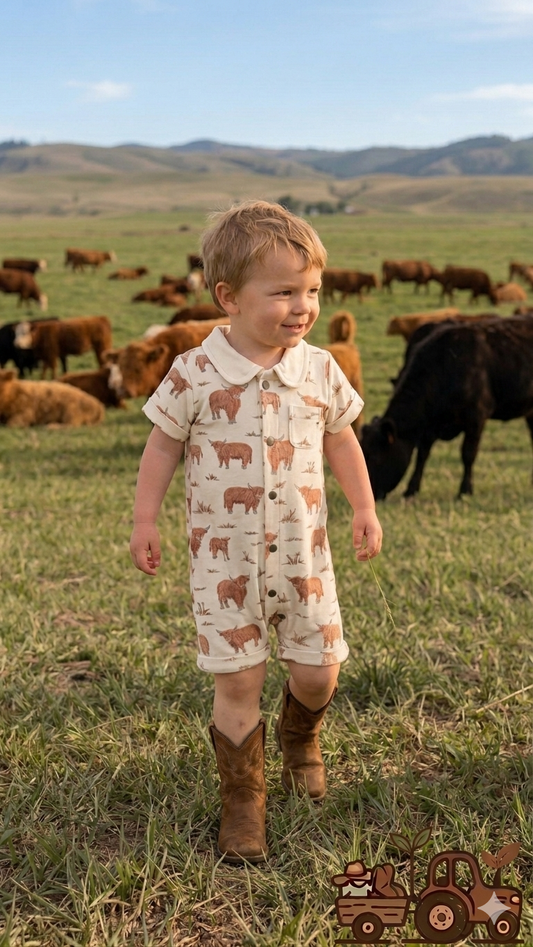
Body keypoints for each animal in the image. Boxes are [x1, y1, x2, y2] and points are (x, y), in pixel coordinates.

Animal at [361, 317, 533, 499]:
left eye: (374, 457)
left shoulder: (476, 417)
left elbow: (468, 454)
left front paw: (465, 490)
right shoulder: (430, 427)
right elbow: (422, 455)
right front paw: (411, 489)